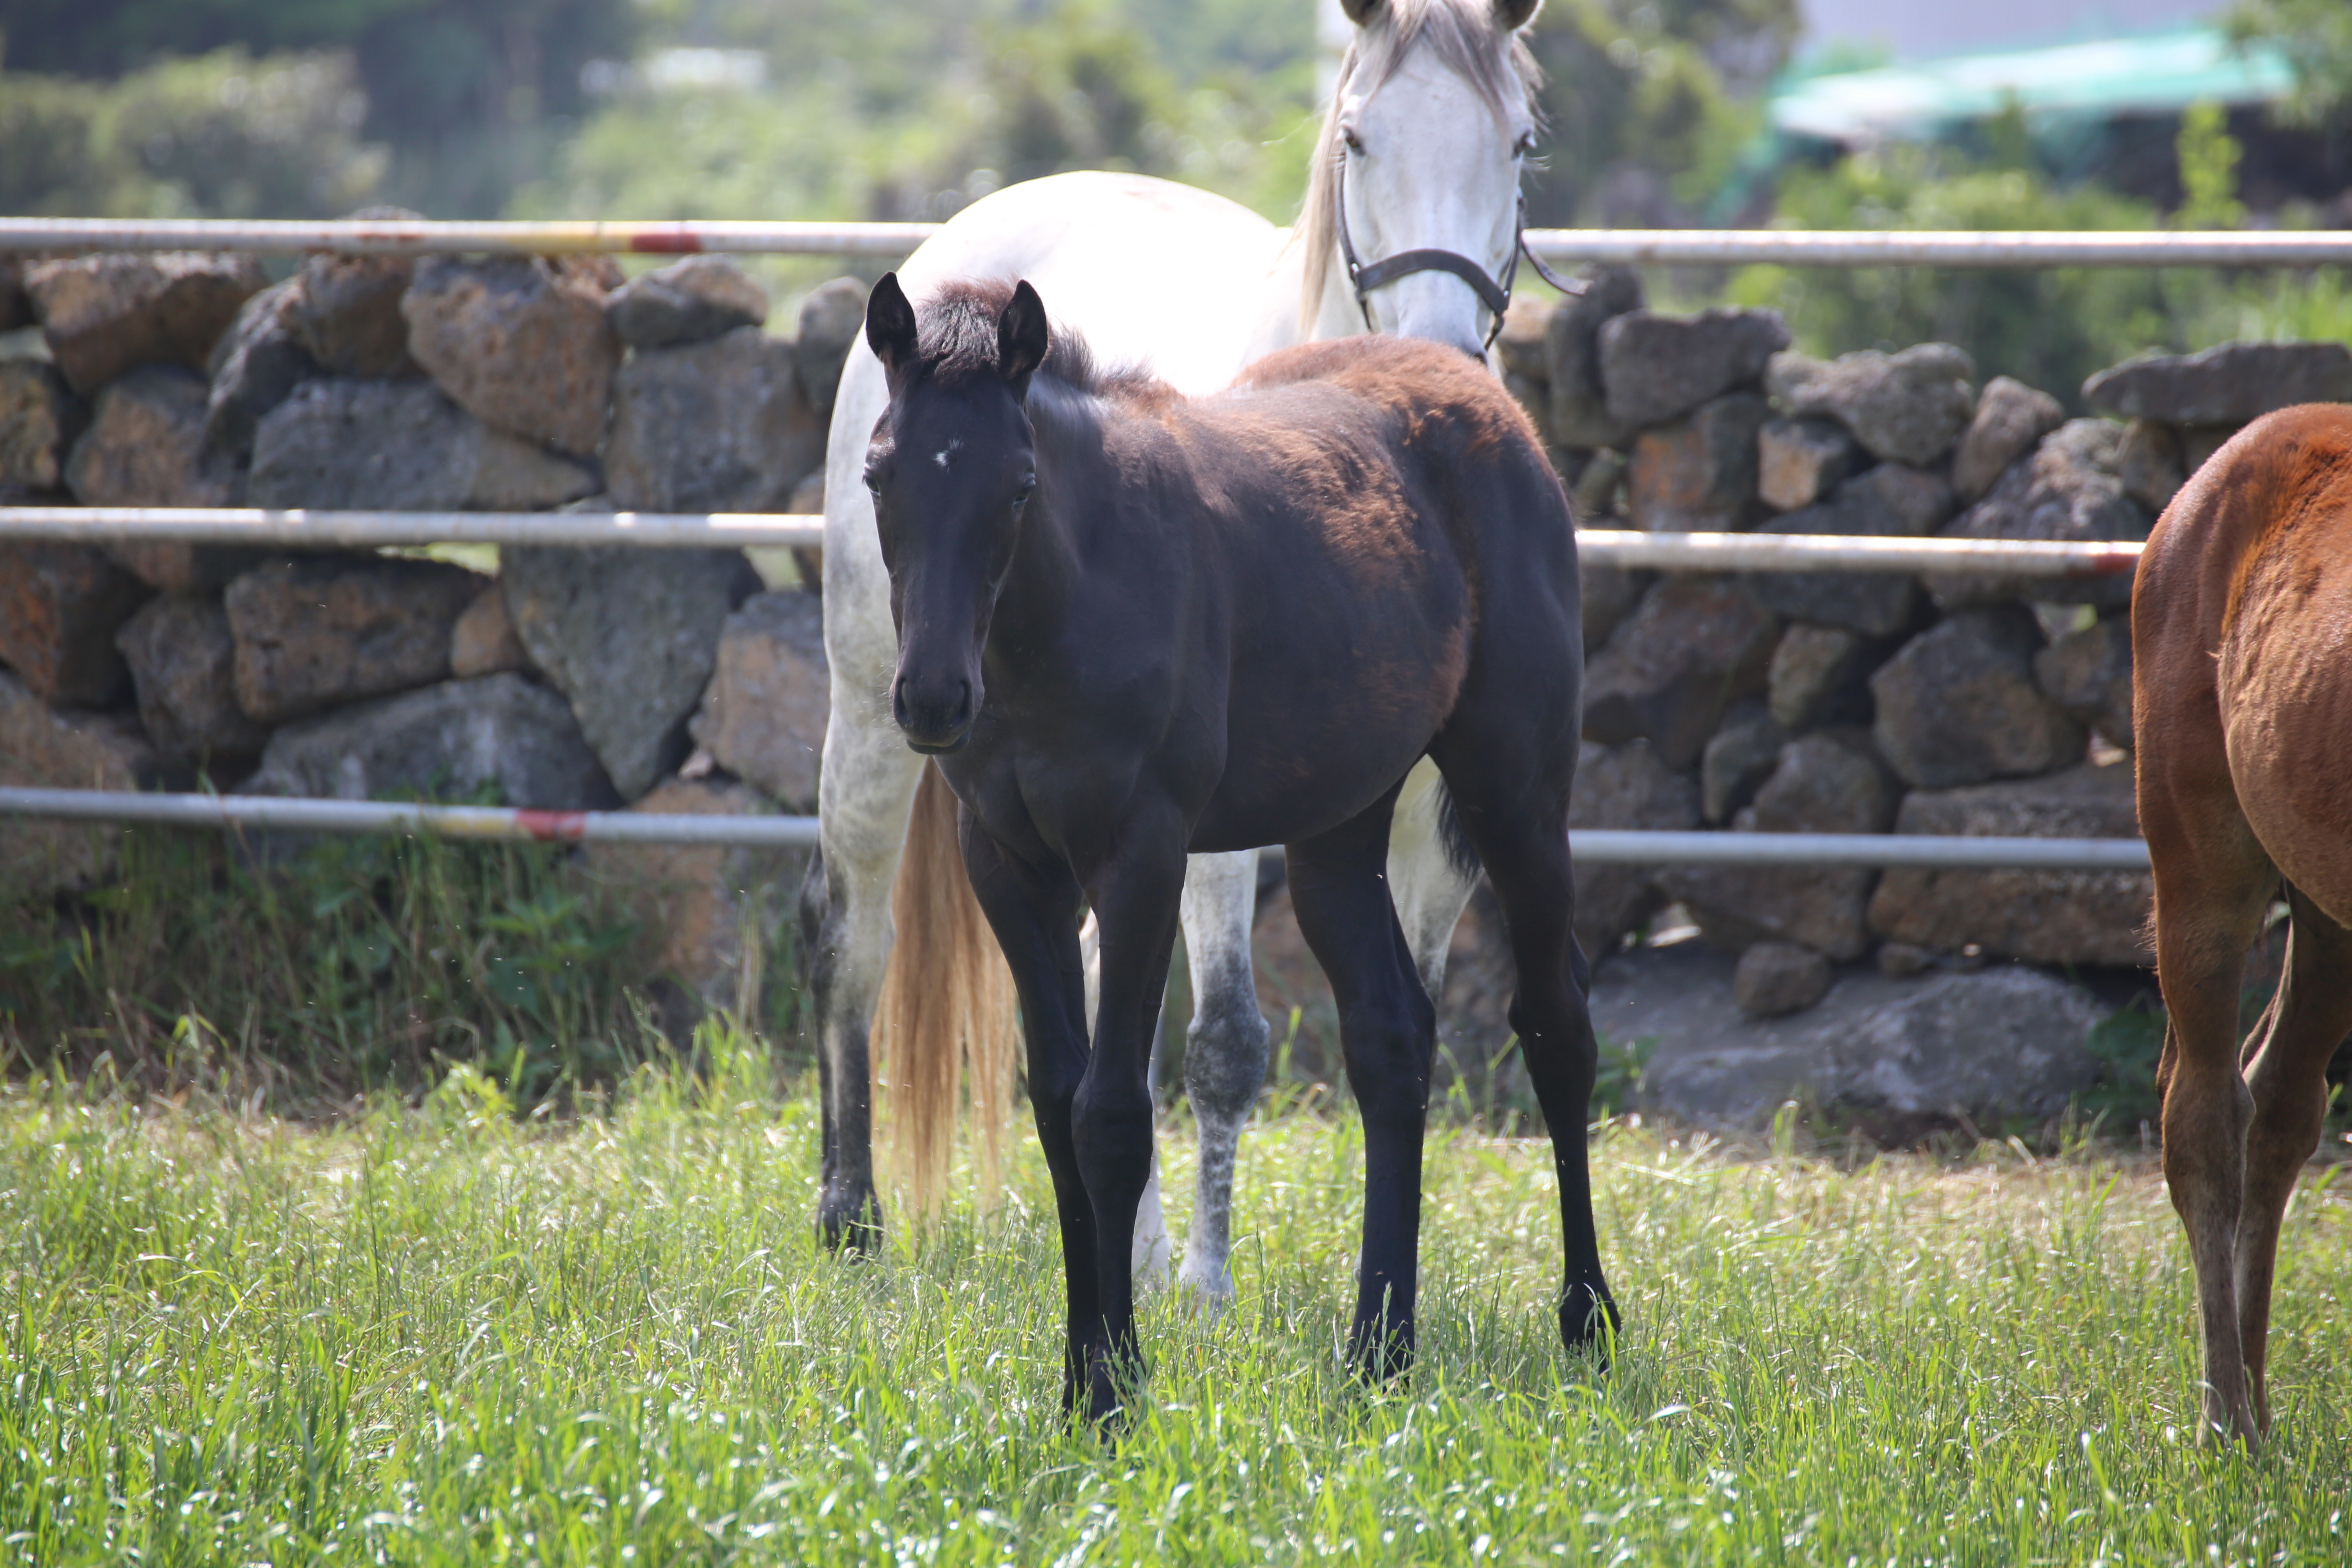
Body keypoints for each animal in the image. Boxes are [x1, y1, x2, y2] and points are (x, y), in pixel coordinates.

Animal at [809, 0, 1561, 1297]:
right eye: (1355, 138)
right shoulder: (1210, 839)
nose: (1442, 357)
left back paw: (1140, 1247)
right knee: (858, 938)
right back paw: (856, 1212)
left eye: (1517, 143)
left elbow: (1392, 1018)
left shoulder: (1420, 826)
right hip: (868, 712)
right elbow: (1222, 1041)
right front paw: (1208, 1287)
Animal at [865, 272, 1618, 1420]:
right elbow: (1056, 1110)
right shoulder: (1010, 868)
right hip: (1335, 827)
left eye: (1019, 486)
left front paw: (1112, 1394)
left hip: (1515, 790)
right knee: (1392, 1039)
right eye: (877, 474)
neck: (1070, 608)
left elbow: (1112, 1116)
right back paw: (1378, 1348)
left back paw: (1585, 1321)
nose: (934, 699)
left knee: (1554, 1023)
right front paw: (1083, 1372)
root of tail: (1491, 406)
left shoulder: (1141, 855)